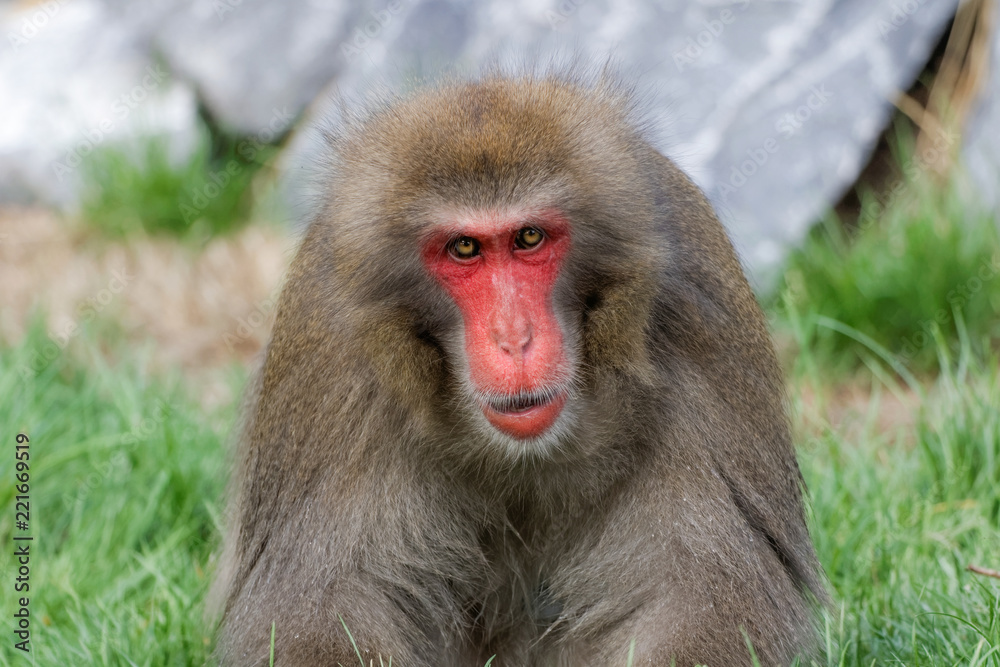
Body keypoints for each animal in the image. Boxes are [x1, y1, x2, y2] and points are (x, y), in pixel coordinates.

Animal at [211, 70, 827, 667]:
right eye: (464, 248)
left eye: (529, 237)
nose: (514, 339)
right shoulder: (330, 350)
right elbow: (323, 603)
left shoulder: (693, 311)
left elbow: (704, 590)